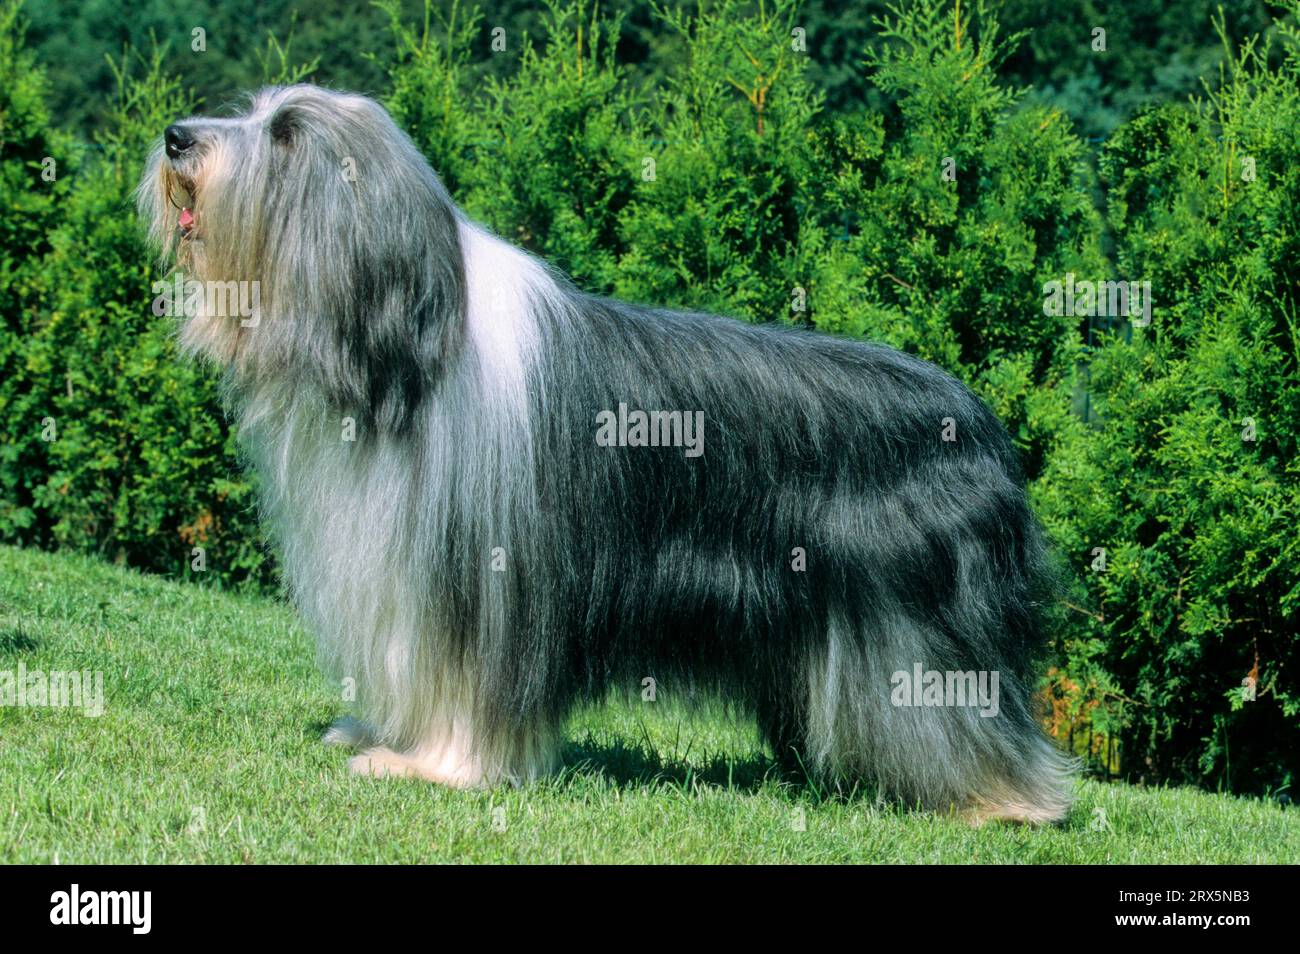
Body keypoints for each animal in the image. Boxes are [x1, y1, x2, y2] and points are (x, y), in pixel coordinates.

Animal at [139, 85, 1076, 826]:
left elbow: (467, 687)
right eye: (256, 113)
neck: (409, 352)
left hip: (915, 633)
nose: (177, 135)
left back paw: (1005, 802)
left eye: (286, 135)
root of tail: (979, 424)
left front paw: (432, 764)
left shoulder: (483, 577)